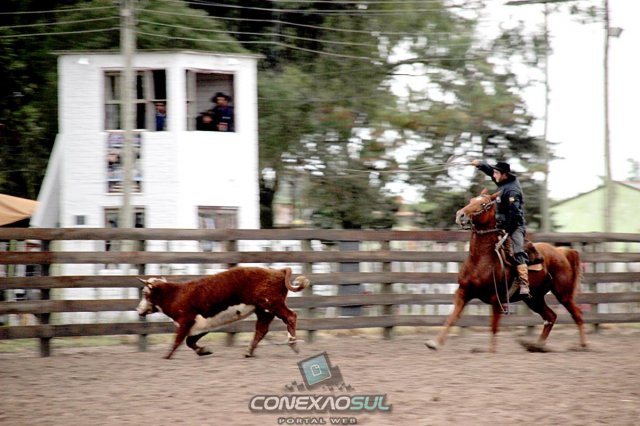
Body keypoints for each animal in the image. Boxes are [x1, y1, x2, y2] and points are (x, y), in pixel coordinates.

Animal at [136, 266, 310, 359]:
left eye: (145, 293)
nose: (138, 310)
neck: (176, 294)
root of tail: (278, 271)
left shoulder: (185, 320)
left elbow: (178, 340)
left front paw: (166, 356)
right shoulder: (201, 325)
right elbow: (189, 341)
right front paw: (204, 351)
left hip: (273, 304)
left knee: (290, 316)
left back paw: (293, 343)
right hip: (264, 310)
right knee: (262, 329)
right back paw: (249, 352)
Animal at [425, 189, 588, 352]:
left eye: (484, 204)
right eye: (471, 200)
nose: (460, 215)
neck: (481, 260)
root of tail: (562, 251)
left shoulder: (496, 299)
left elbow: (494, 326)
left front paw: (491, 351)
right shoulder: (463, 292)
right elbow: (452, 317)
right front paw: (434, 343)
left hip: (563, 294)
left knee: (577, 314)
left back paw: (582, 345)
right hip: (534, 298)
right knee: (550, 316)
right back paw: (536, 345)